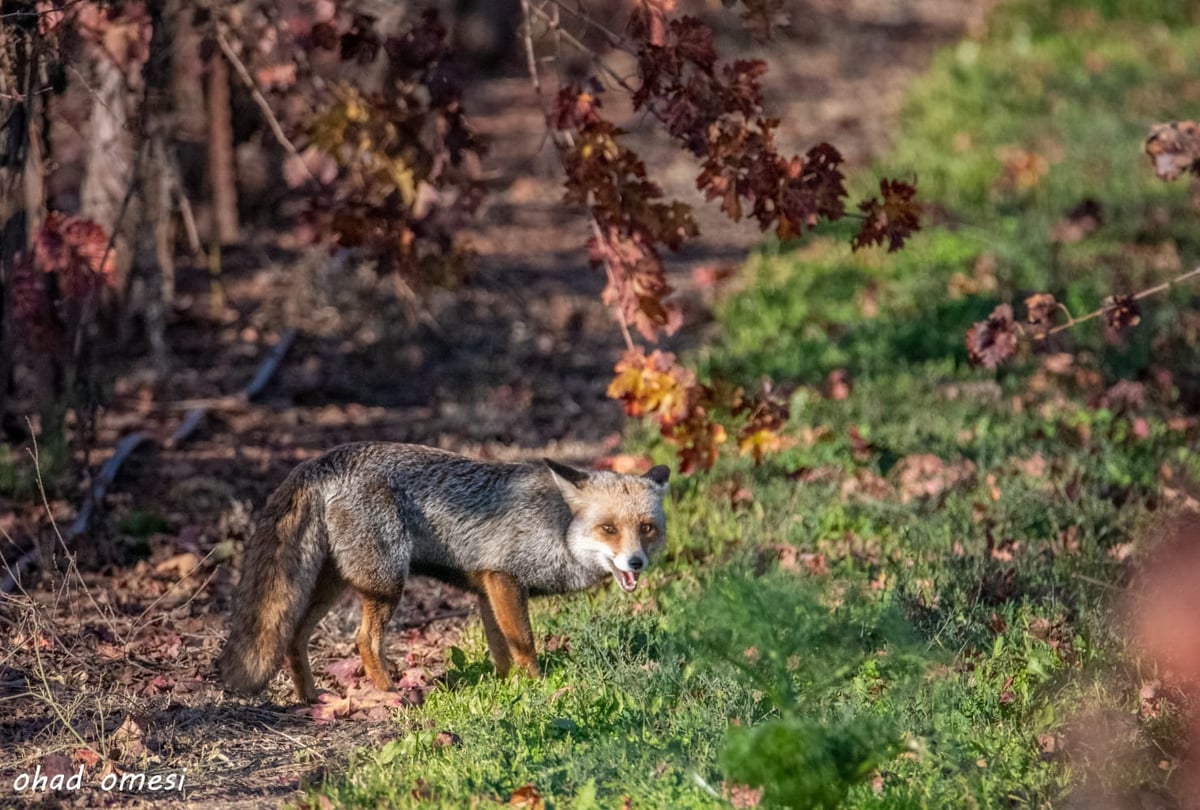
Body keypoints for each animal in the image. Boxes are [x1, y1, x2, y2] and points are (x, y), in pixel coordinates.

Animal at [213, 444, 667, 705]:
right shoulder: (505, 578)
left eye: (646, 528)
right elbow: (525, 647)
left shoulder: (487, 587)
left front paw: (507, 689)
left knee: (294, 636)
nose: (635, 563)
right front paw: (538, 688)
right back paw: (389, 694)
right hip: (387, 584)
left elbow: (501, 652)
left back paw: (310, 699)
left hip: (335, 586)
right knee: (363, 640)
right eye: (608, 529)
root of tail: (325, 458)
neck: (558, 525)